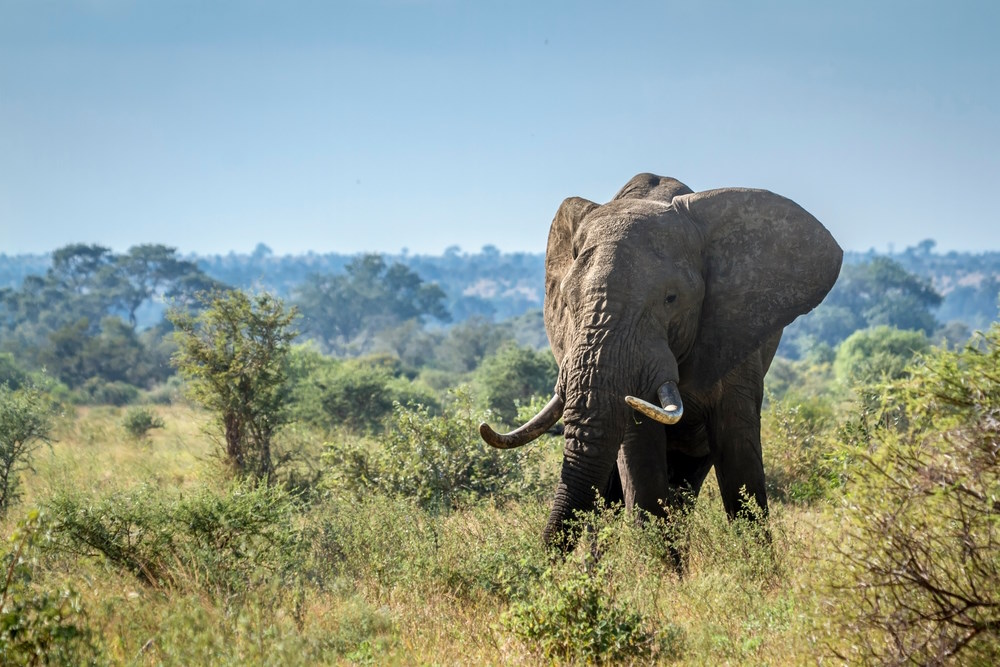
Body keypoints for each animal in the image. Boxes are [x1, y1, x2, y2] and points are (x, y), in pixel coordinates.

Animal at [479, 173, 842, 551]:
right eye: (567, 301)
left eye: (671, 298)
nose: (544, 563)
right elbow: (642, 467)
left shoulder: (733, 333)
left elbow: (739, 458)